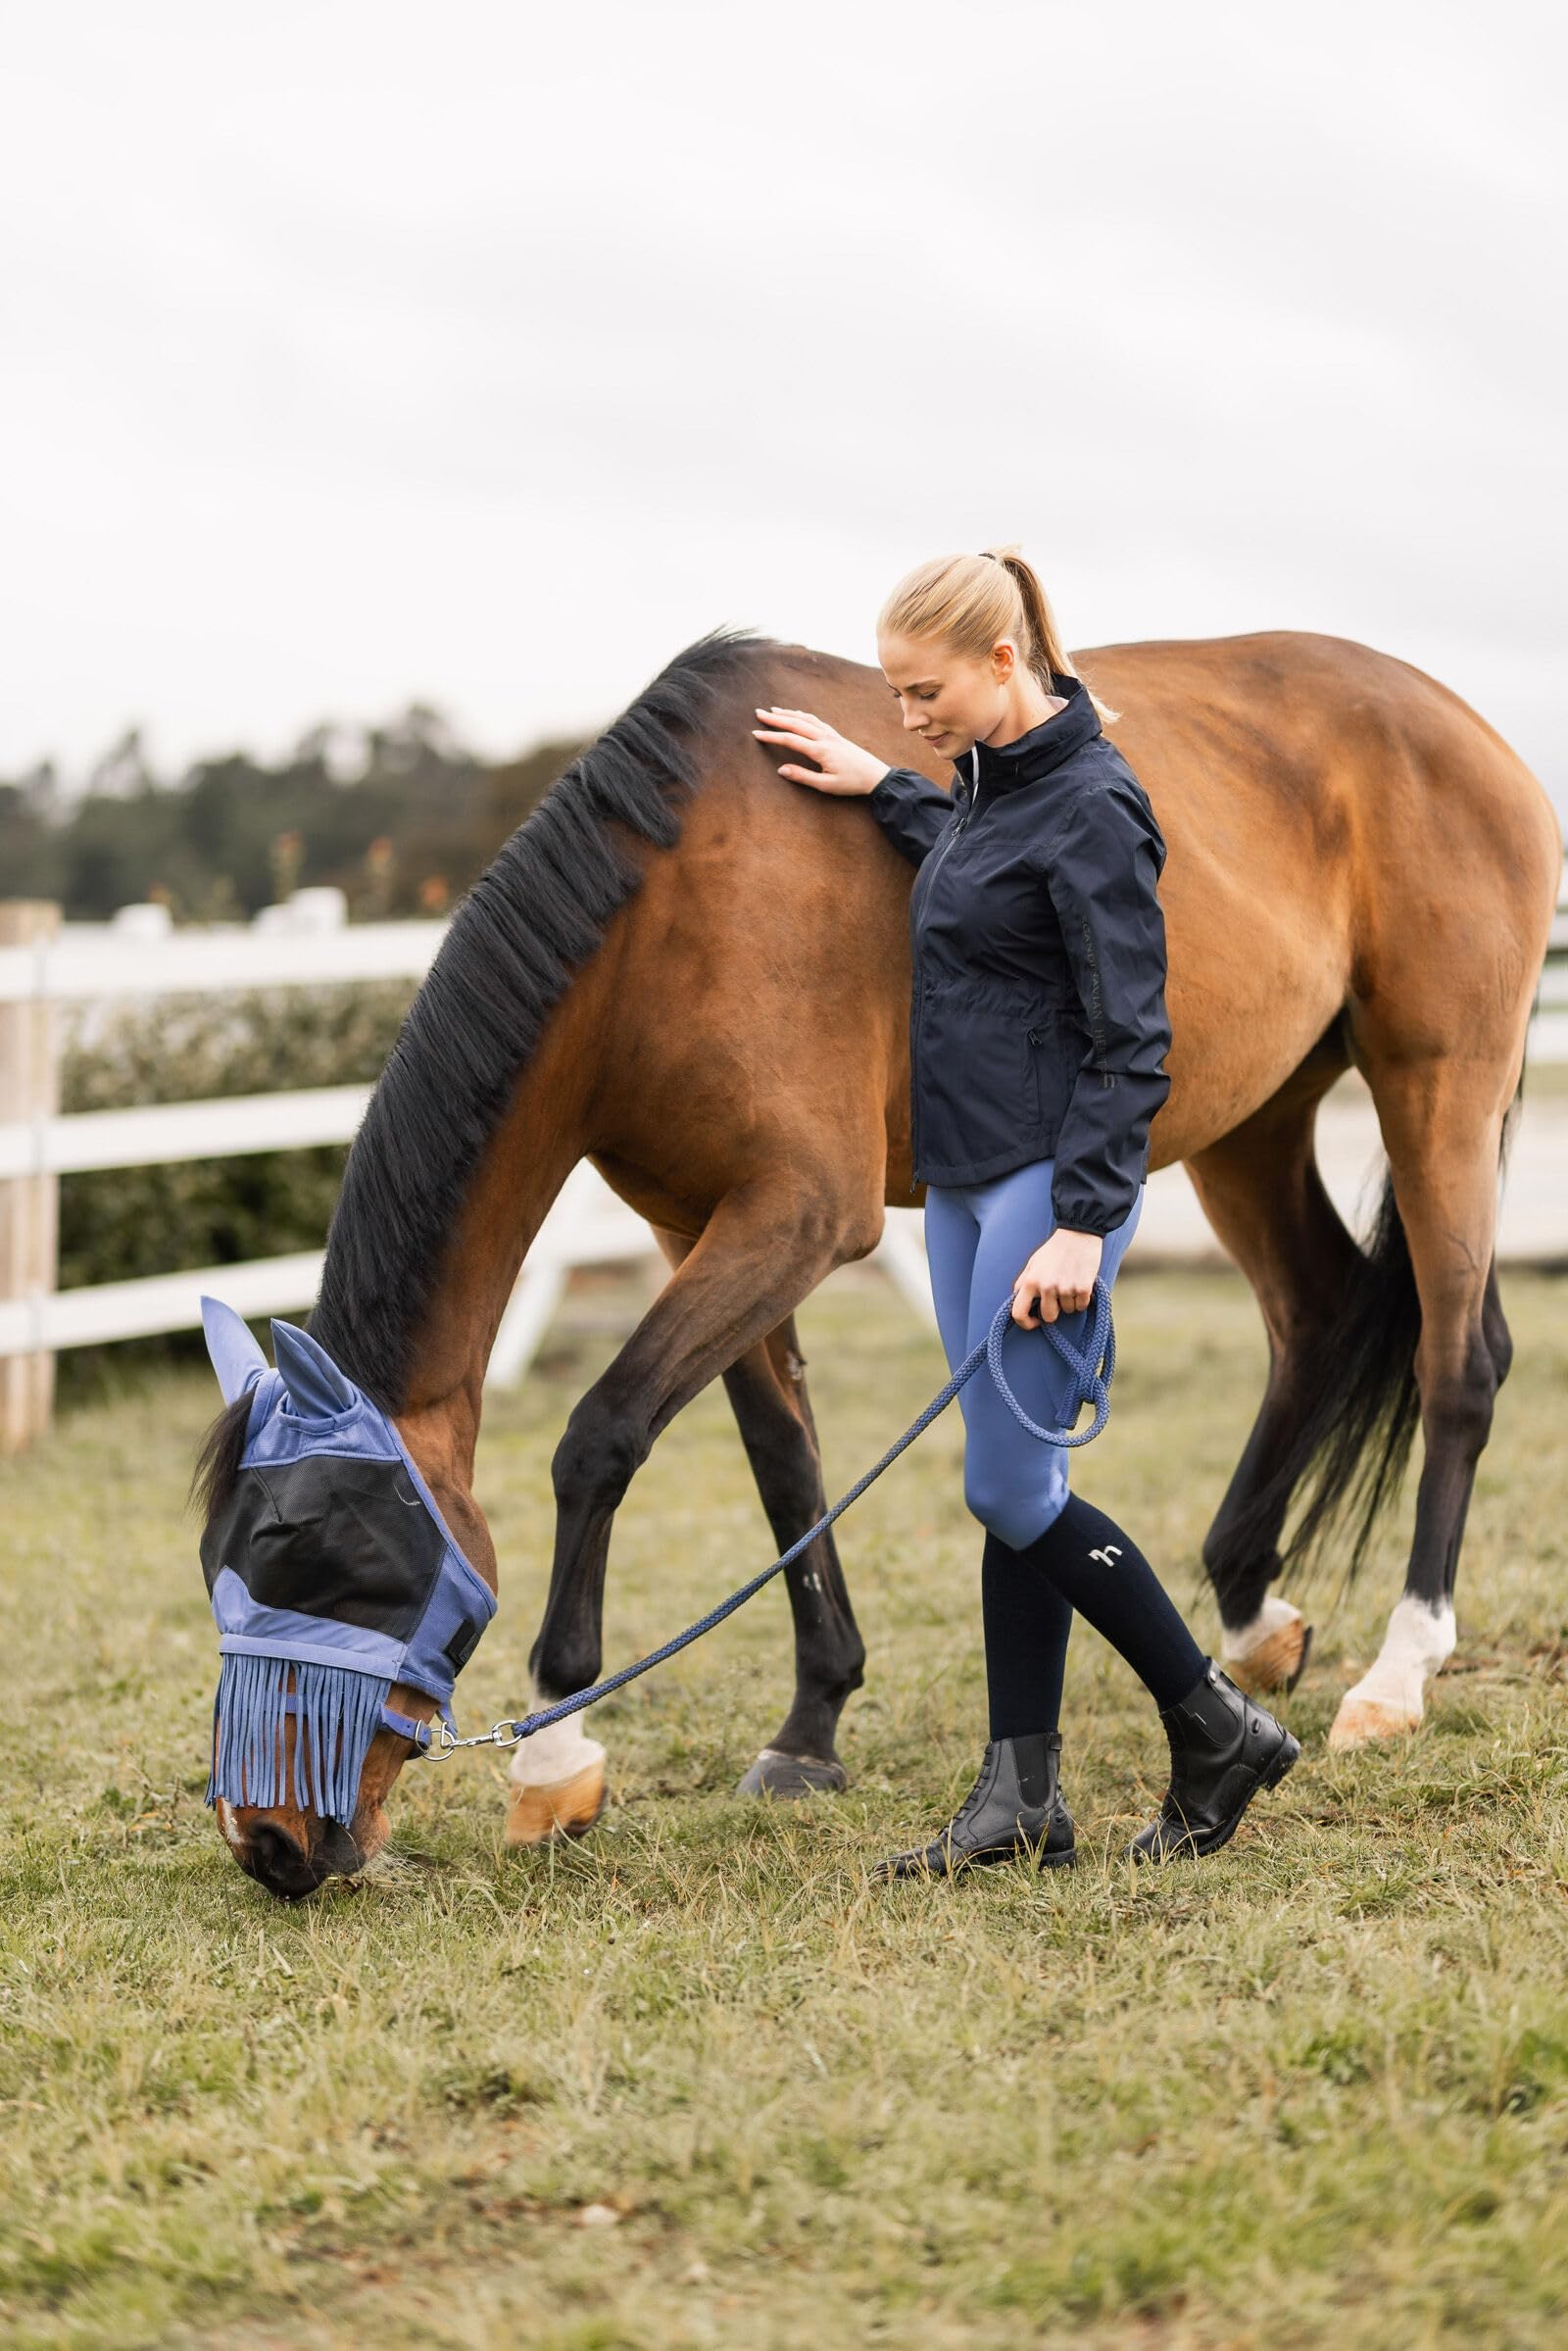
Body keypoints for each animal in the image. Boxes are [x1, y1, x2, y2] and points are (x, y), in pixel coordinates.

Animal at [192, 623, 1563, 1898]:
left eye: (328, 1558)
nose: (270, 1842)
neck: (674, 892)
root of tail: (1464, 726)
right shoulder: (698, 1221)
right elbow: (782, 1462)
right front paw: (811, 1726)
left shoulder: (800, 1215)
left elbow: (602, 1436)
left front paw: (555, 1756)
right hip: (1249, 1119)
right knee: (1318, 1315)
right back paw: (1249, 1615)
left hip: (1435, 1084)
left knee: (1459, 1361)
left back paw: (1399, 1670)